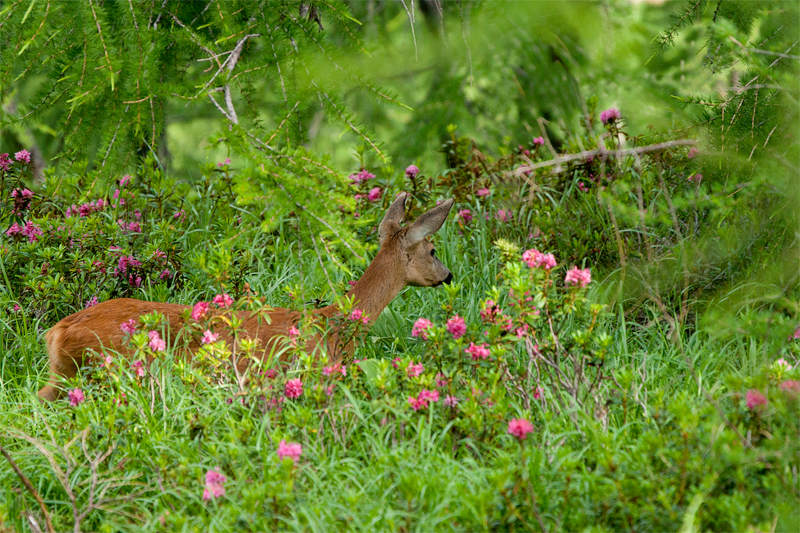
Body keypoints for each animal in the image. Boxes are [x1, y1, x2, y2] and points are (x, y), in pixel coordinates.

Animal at [37, 193, 454, 402]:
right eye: (433, 250)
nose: (448, 276)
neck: (334, 327)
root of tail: (56, 332)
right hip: (110, 369)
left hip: (63, 376)